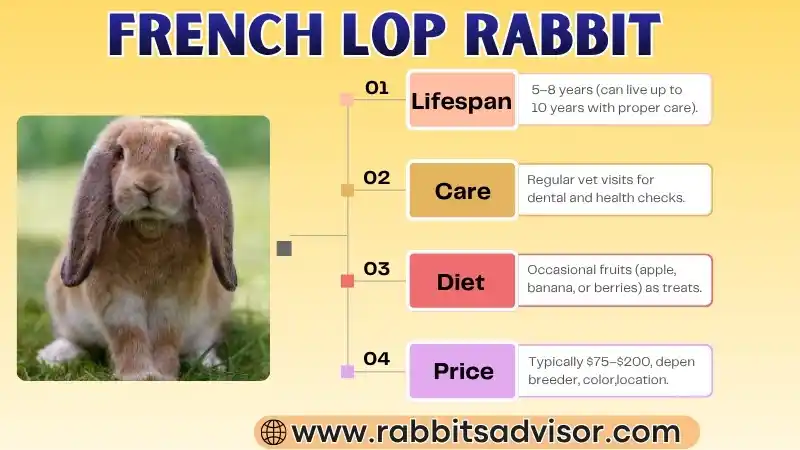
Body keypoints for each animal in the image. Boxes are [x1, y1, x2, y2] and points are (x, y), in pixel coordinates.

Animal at [35, 116, 238, 381]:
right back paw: (55, 357)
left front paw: (163, 375)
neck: (149, 231)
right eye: (121, 153)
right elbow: (128, 336)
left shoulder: (173, 305)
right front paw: (140, 376)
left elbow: (165, 338)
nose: (148, 185)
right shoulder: (118, 303)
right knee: (72, 338)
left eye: (177, 155)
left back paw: (211, 364)